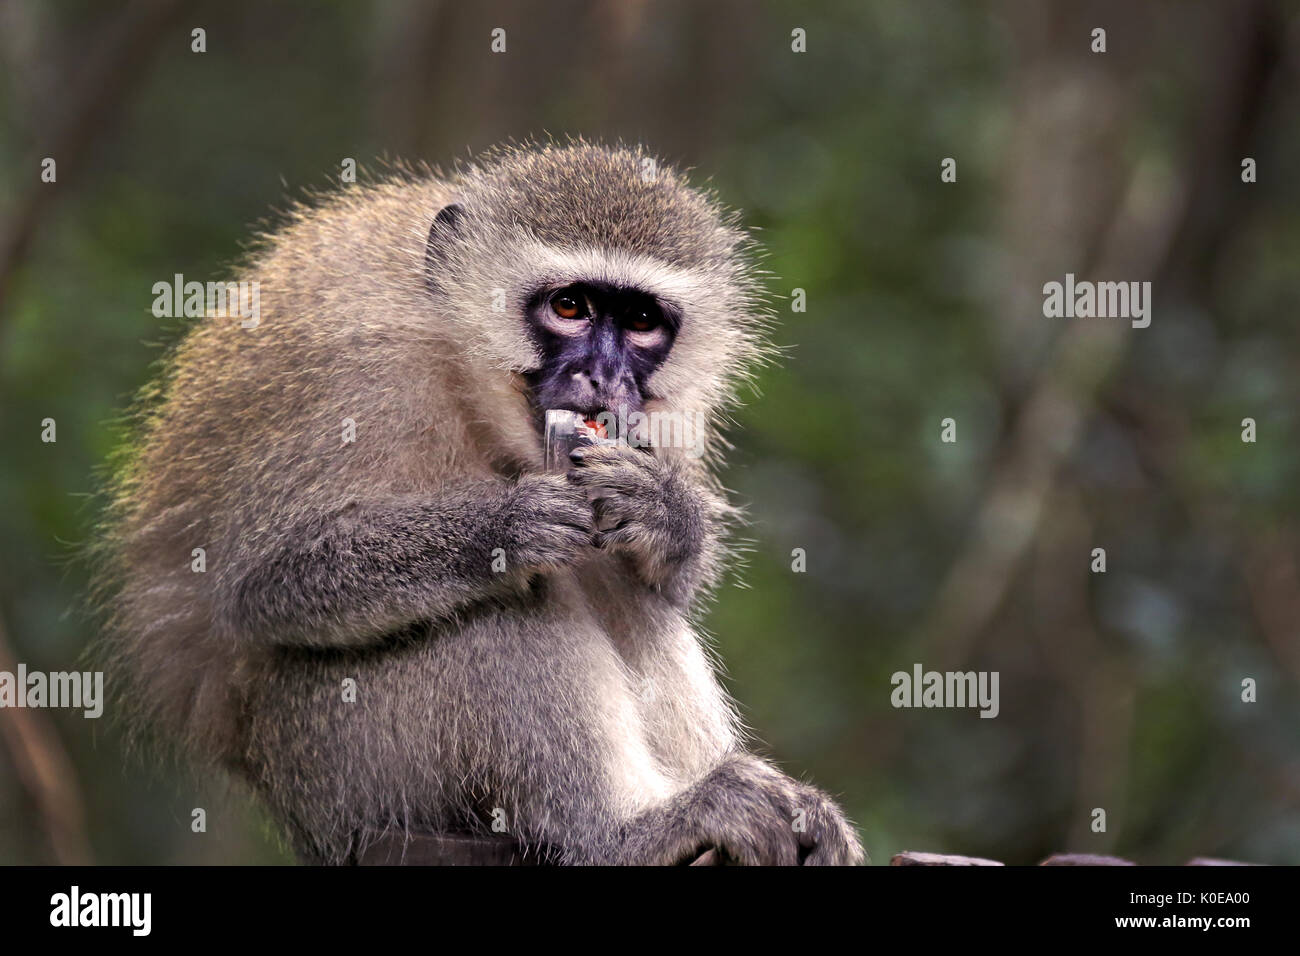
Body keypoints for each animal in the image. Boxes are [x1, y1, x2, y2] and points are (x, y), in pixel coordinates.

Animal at [96, 141, 868, 868]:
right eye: (569, 307)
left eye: (644, 320)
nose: (604, 376)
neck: (459, 360)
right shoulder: (356, 369)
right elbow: (263, 581)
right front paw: (504, 530)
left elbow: (667, 579)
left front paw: (666, 513)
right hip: (341, 763)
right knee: (507, 604)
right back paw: (624, 831)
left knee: (617, 584)